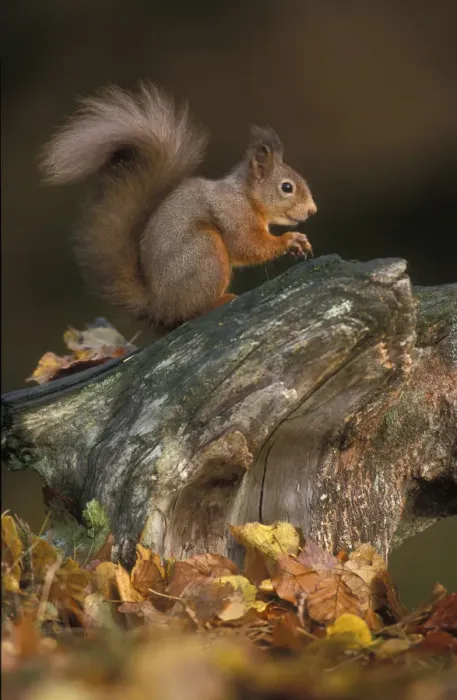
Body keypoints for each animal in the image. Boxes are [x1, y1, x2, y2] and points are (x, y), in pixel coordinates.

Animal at [41, 83, 317, 330]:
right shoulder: (234, 215)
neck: (246, 196)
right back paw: (220, 301)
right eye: (287, 187)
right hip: (205, 250)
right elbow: (248, 246)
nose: (312, 210)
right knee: (190, 312)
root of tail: (159, 305)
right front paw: (290, 240)